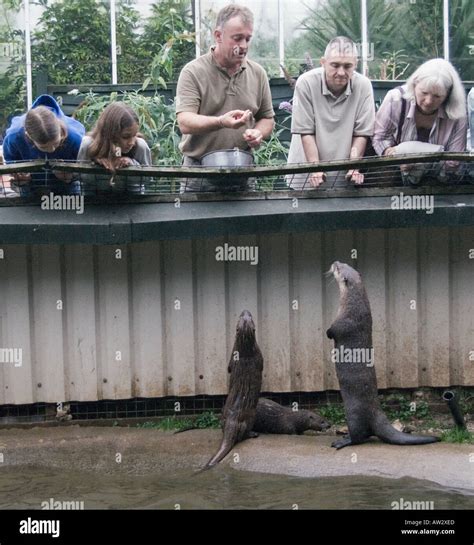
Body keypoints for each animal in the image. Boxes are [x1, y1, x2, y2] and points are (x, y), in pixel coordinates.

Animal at [203, 308, 264, 470]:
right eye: (243, 316)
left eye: (248, 316)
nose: (246, 310)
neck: (245, 351)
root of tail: (232, 420)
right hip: (250, 416)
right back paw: (254, 434)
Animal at [328, 262, 438, 448]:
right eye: (344, 264)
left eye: (339, 269)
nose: (335, 262)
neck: (353, 305)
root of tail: (378, 415)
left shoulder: (342, 322)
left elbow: (332, 332)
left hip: (353, 414)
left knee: (359, 436)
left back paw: (343, 441)